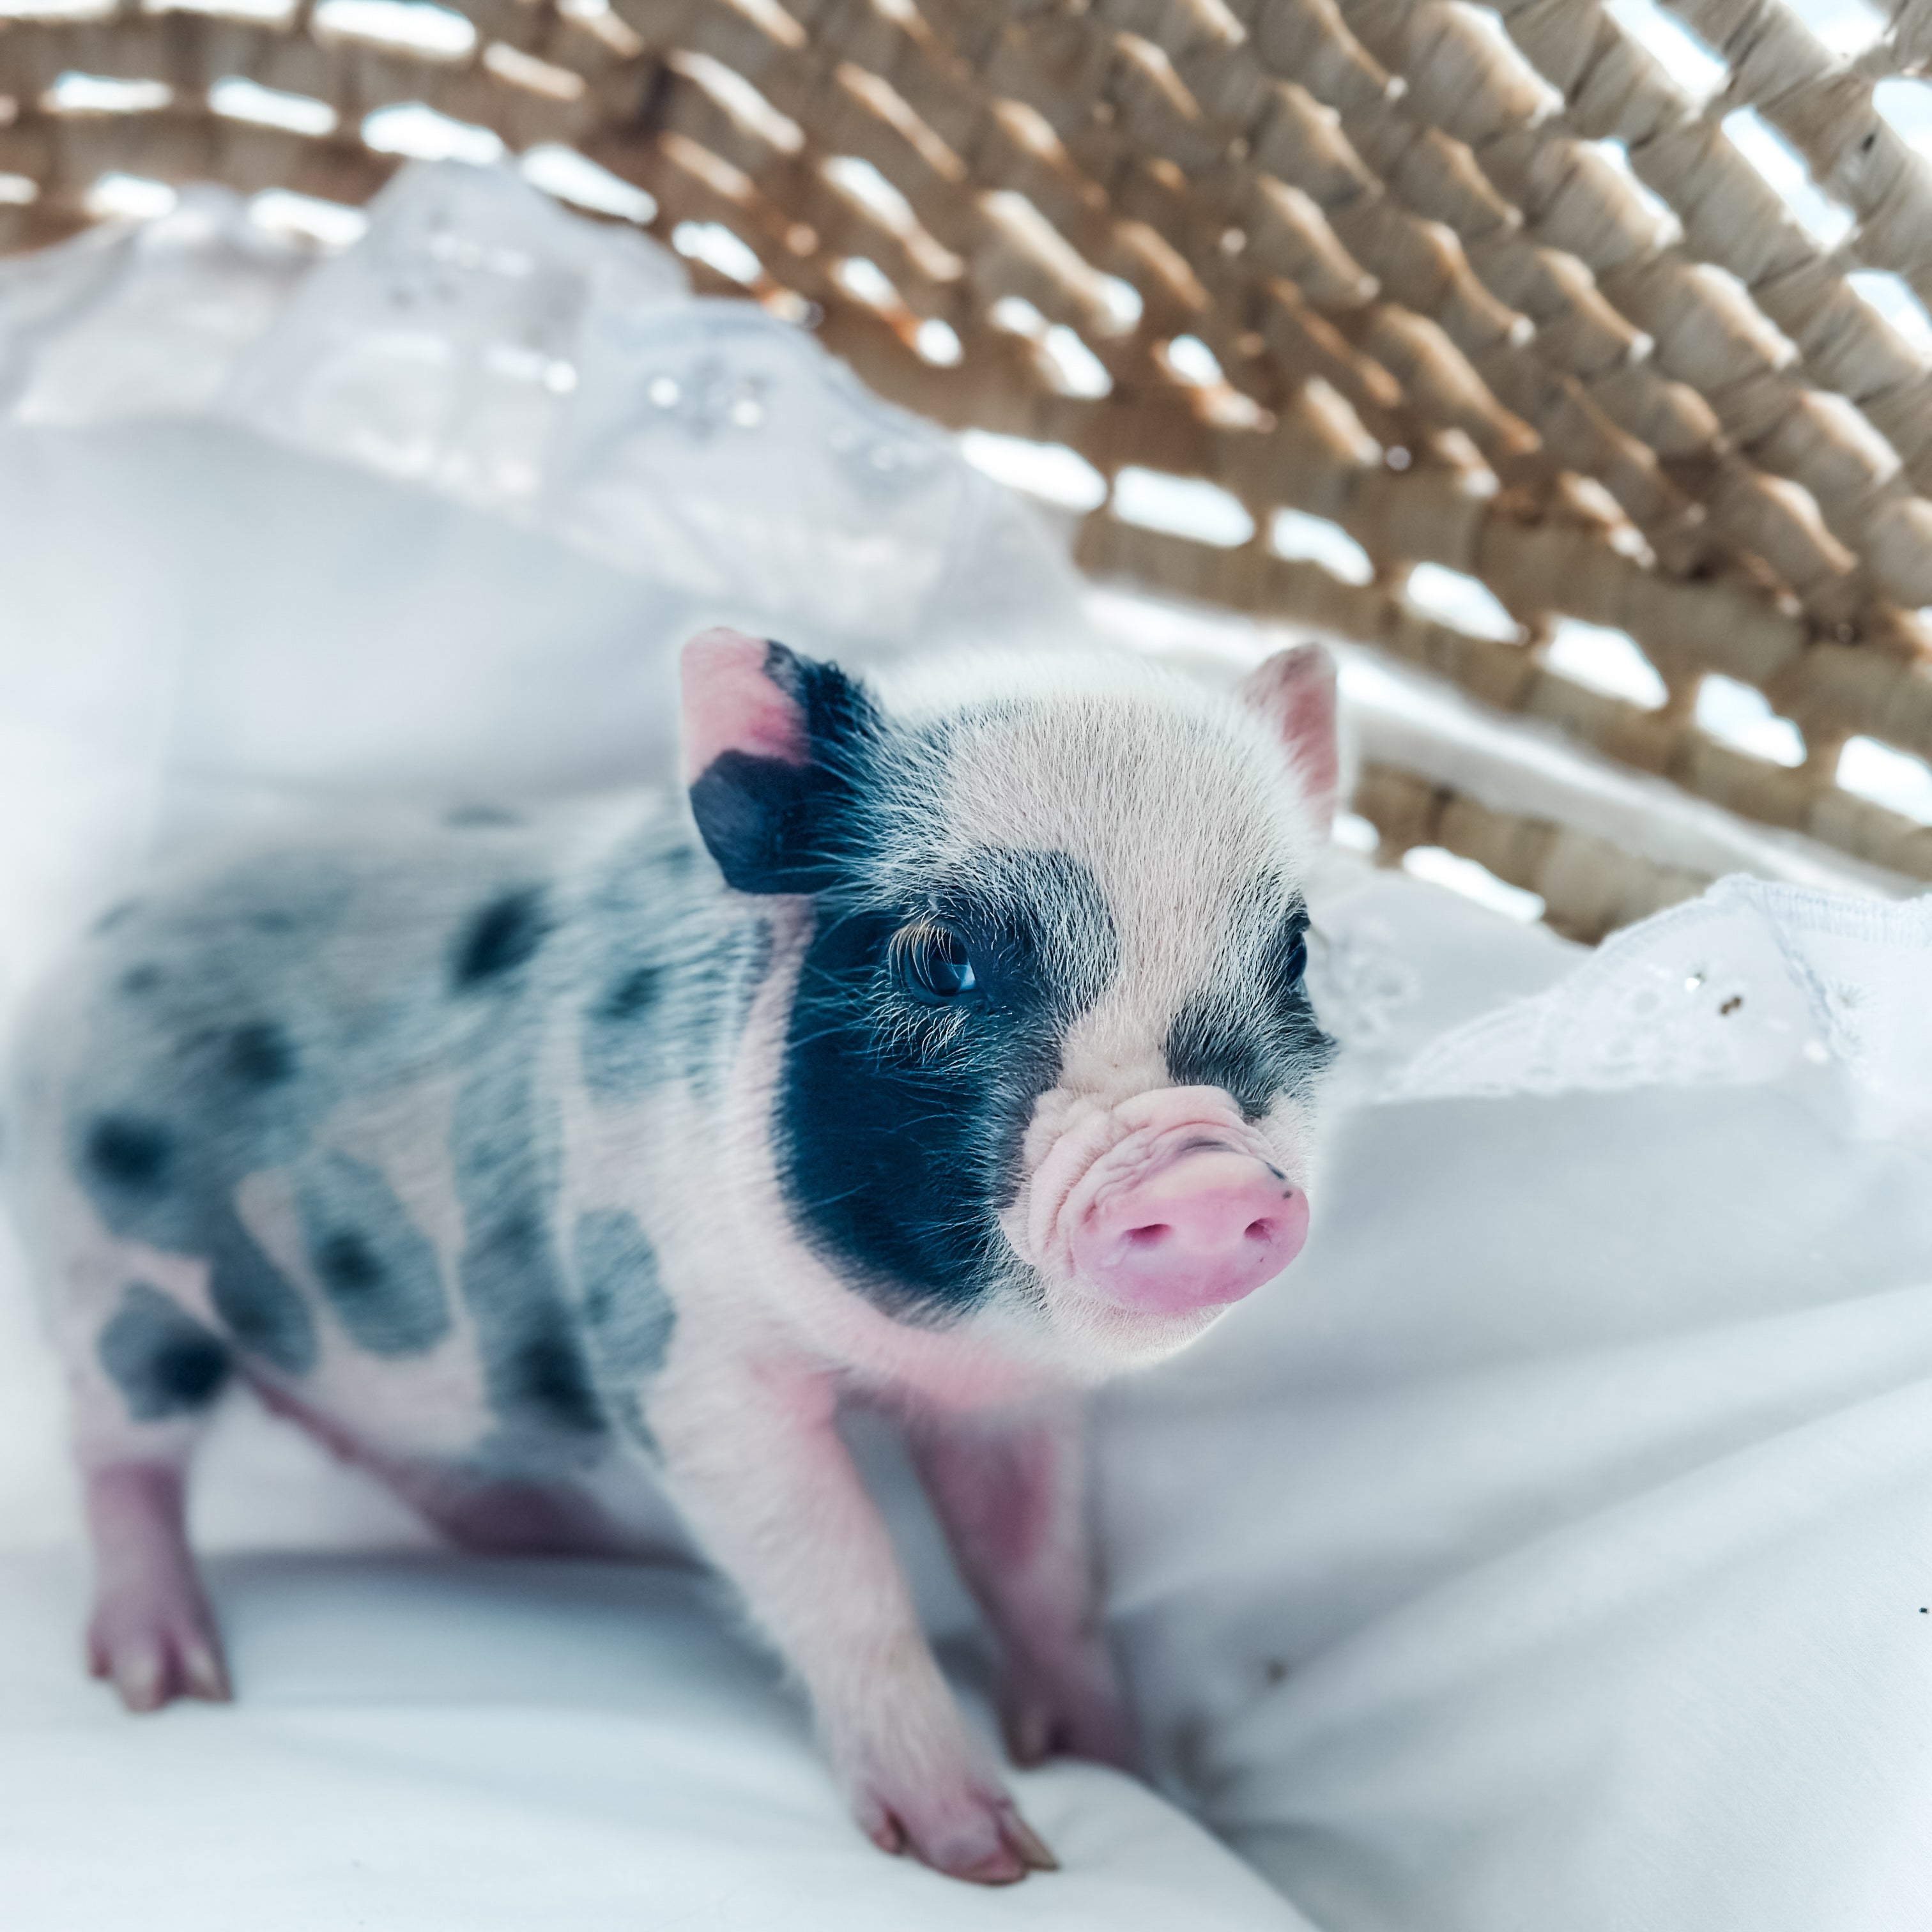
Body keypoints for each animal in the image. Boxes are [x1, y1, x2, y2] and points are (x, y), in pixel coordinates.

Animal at [3, 628, 1338, 1884]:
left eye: (1294, 950)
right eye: (935, 955)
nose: (1205, 1172)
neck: (914, 1345)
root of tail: (74, 970)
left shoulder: (1007, 1397)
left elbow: (1042, 1567)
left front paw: (1110, 1764)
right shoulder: (681, 1349)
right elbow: (842, 1572)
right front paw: (987, 1854)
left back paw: (577, 1542)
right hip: (108, 1277)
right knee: (121, 1454)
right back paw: (168, 1678)